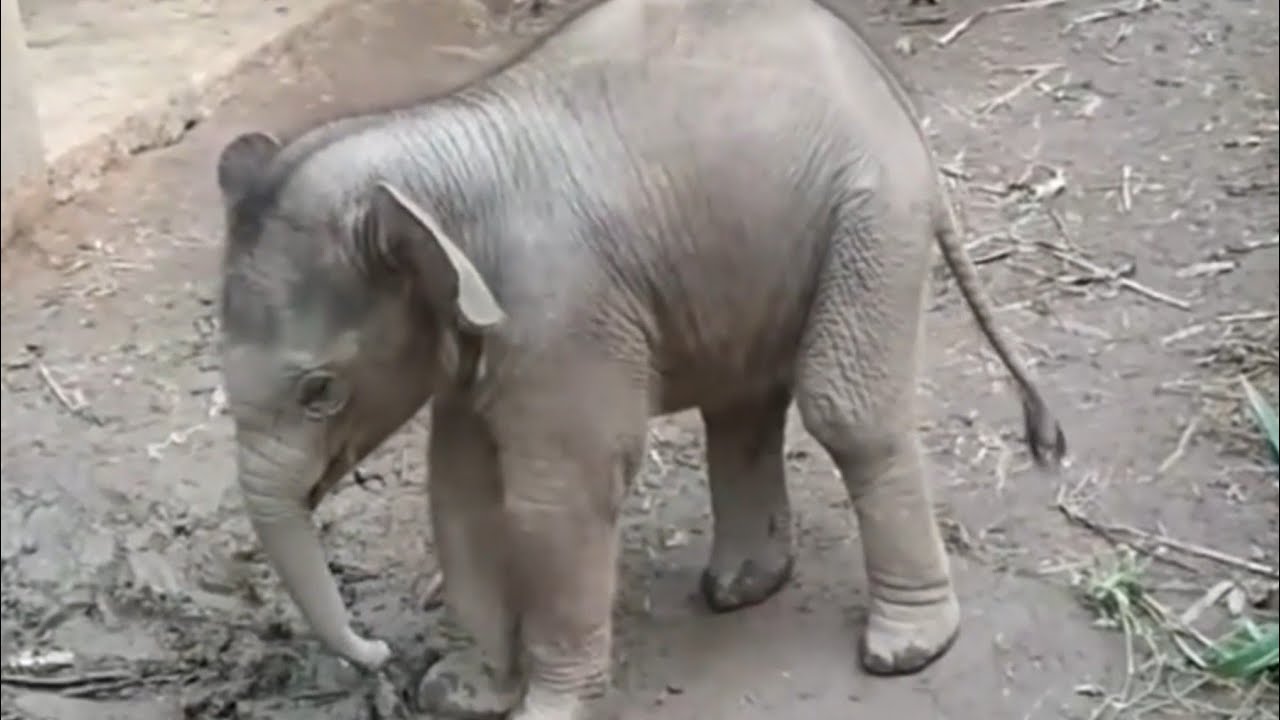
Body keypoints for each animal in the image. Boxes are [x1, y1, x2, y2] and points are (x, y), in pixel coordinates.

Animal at [213, 0, 1066, 717]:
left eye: (319, 390)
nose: (379, 652)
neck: (424, 163)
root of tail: (898, 105)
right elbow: (459, 488)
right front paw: (460, 694)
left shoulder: (561, 311)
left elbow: (560, 495)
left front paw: (542, 711)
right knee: (743, 403)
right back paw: (740, 589)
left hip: (872, 216)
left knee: (844, 410)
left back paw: (903, 650)